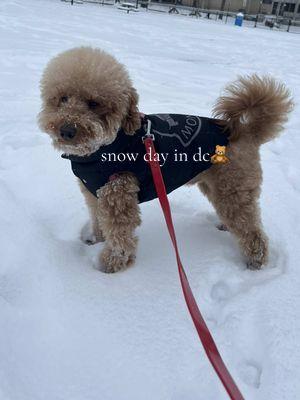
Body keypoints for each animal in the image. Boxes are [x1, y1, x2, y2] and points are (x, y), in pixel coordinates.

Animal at [37, 46, 292, 272]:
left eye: (94, 103)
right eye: (63, 98)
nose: (67, 130)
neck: (103, 147)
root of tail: (246, 131)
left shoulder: (118, 192)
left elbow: (120, 236)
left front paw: (111, 265)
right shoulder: (94, 192)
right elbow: (98, 219)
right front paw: (96, 240)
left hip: (233, 188)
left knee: (252, 230)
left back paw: (255, 261)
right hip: (216, 185)